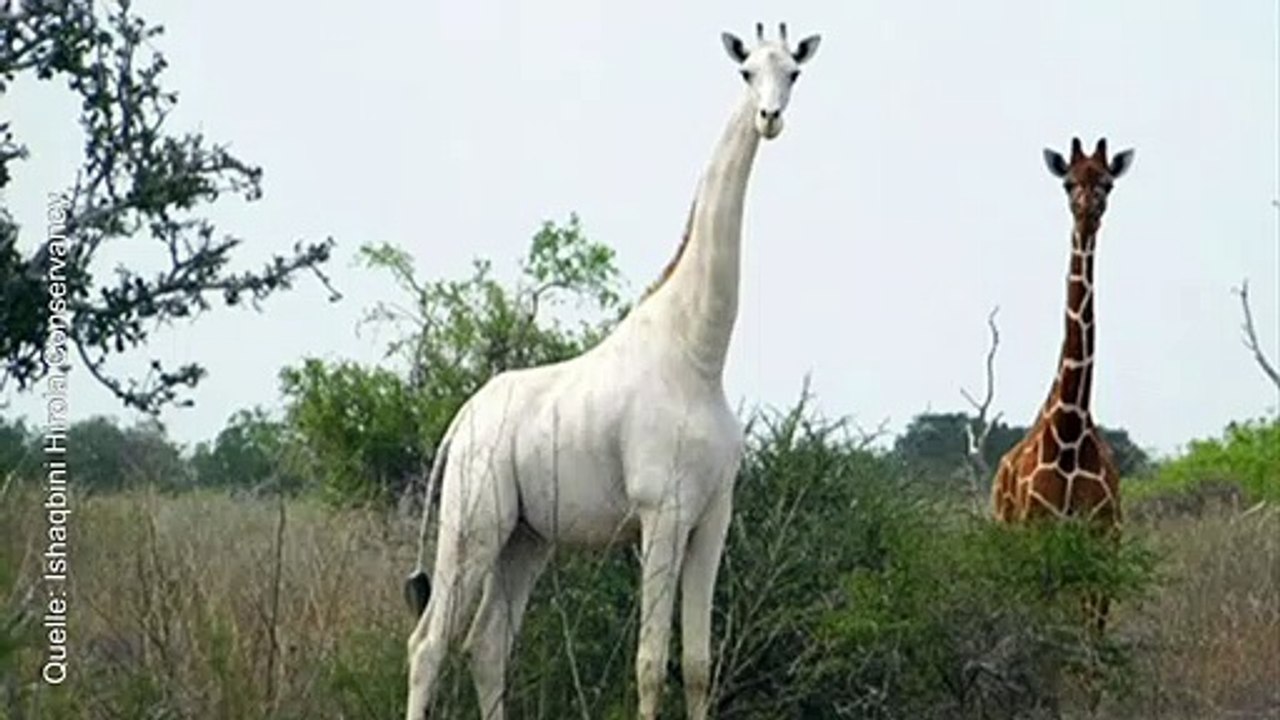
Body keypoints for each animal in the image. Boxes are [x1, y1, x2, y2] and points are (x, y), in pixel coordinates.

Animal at [402, 23, 821, 720]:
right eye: (745, 73)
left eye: (793, 72)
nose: (770, 118)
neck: (700, 355)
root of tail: (460, 422)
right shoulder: (662, 512)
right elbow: (650, 664)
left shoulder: (714, 517)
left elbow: (699, 665)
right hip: (473, 522)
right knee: (428, 644)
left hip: (527, 537)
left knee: (487, 643)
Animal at [991, 136, 1134, 628]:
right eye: (1068, 182)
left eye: (1107, 181)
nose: (1088, 209)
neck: (1069, 429)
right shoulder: (1039, 535)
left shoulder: (1103, 540)